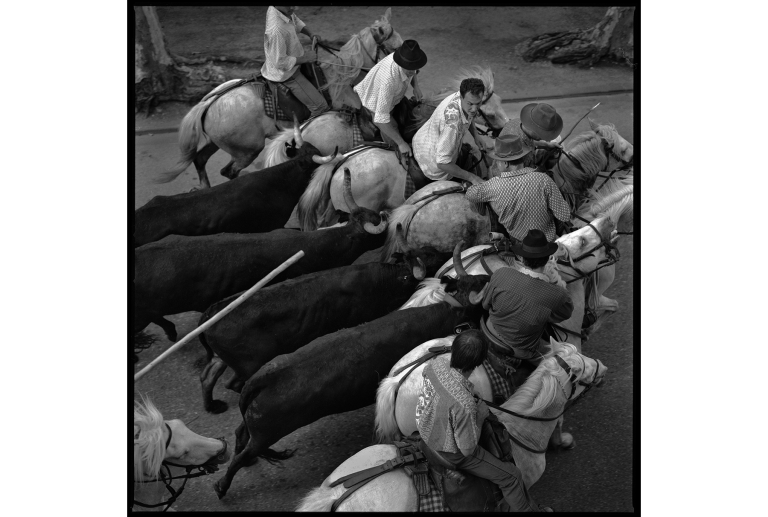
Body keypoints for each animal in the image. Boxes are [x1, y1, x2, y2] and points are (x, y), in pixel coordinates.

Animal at [155, 8, 402, 189]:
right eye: (393, 48)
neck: (340, 79)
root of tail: (210, 103)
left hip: (217, 143)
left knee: (200, 160)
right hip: (246, 150)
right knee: (229, 171)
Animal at [197, 224, 452, 414]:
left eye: (430, 248)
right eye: (430, 255)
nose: (450, 252)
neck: (390, 278)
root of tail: (211, 313)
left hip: (223, 359)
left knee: (208, 375)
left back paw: (211, 405)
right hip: (248, 364)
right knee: (232, 383)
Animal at [210, 241, 492, 499]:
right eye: (430, 254)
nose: (490, 276)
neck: (447, 309)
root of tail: (262, 377)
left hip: (257, 424)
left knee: (240, 433)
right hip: (267, 431)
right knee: (242, 453)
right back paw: (222, 485)